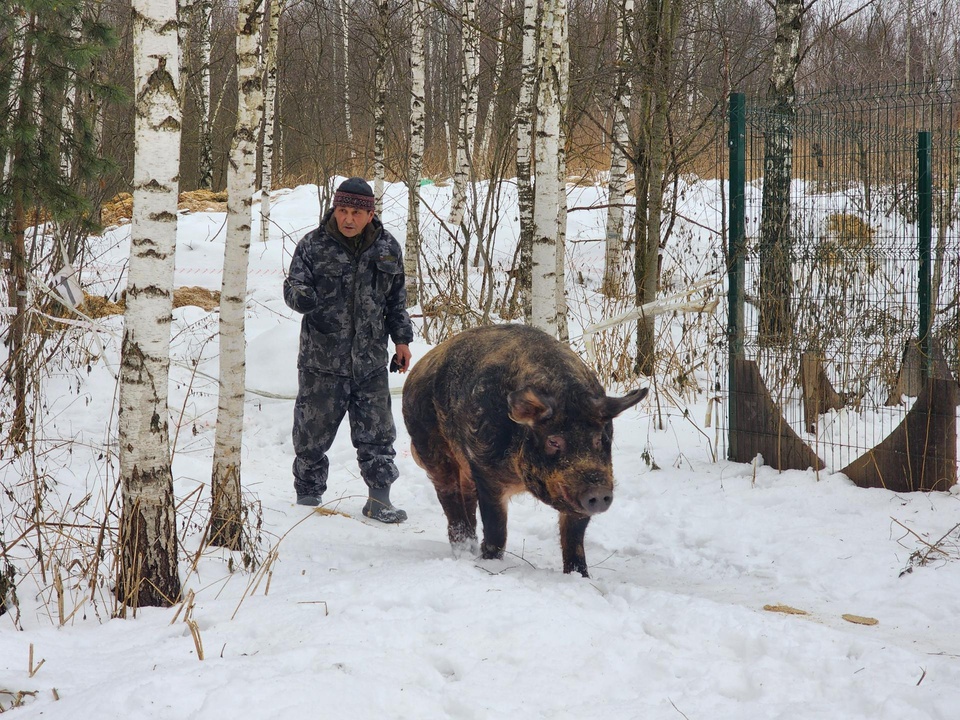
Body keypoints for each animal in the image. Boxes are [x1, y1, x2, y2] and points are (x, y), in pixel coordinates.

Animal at [402, 324, 648, 576]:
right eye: (553, 441)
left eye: (599, 438)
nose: (597, 492)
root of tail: (418, 369)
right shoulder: (485, 470)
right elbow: (497, 531)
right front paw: (490, 564)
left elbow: (574, 539)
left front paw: (581, 577)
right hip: (430, 447)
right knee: (449, 496)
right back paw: (464, 553)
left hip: (465, 468)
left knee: (466, 498)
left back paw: (470, 551)